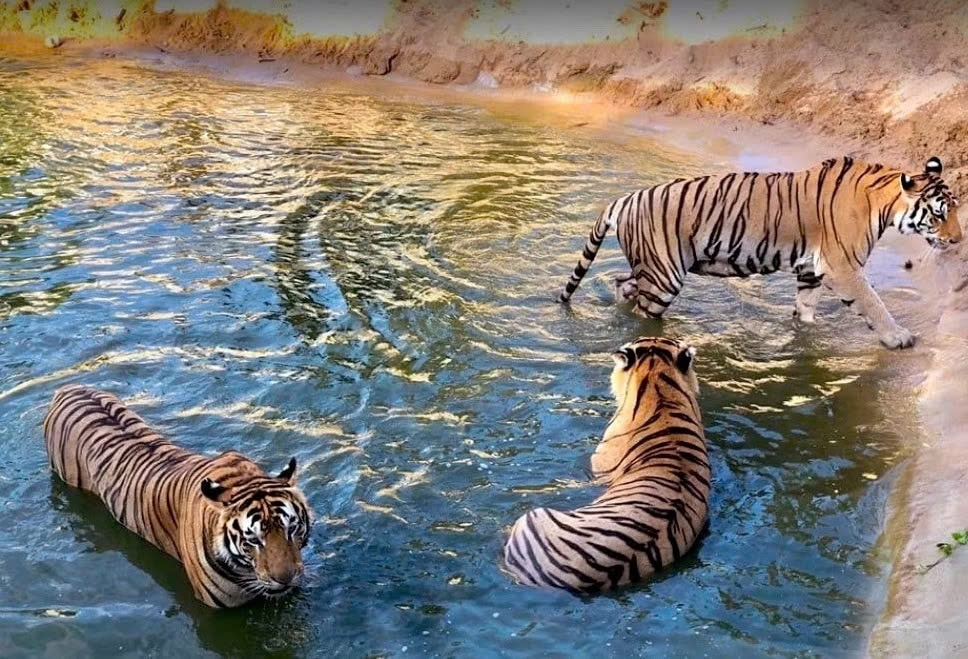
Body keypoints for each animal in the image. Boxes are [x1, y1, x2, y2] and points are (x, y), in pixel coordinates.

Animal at [559, 157, 962, 349]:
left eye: (955, 209)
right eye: (939, 213)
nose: (958, 240)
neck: (883, 203)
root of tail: (627, 197)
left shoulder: (811, 270)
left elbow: (806, 308)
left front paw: (804, 334)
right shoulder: (842, 267)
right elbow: (874, 303)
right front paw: (898, 337)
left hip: (649, 267)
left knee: (621, 283)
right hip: (663, 276)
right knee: (642, 313)